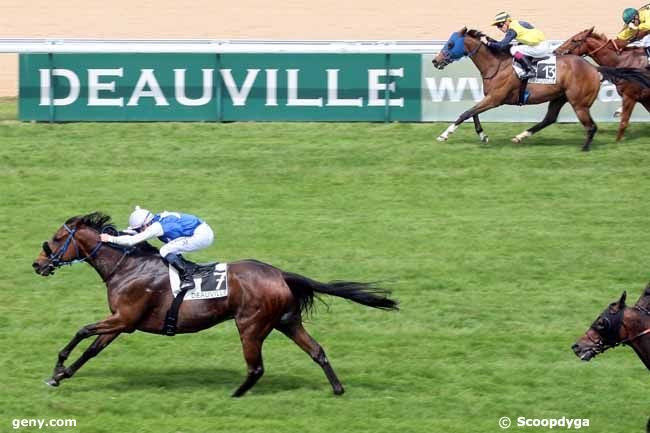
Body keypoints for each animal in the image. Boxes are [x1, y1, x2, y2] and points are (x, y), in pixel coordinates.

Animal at [33, 212, 398, 394]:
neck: (127, 266)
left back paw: (235, 394)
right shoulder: (121, 322)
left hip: (250, 325)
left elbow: (81, 332)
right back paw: (337, 389)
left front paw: (57, 367)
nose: (37, 264)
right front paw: (61, 375)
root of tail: (280, 274)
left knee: (256, 367)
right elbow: (92, 350)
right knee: (317, 351)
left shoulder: (125, 319)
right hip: (287, 321)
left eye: (56, 239)